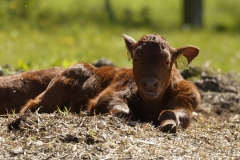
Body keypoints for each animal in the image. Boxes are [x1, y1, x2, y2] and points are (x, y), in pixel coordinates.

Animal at [18, 33, 200, 132]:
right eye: (136, 58)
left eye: (167, 61)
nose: (149, 83)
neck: (150, 106)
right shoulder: (109, 94)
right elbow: (124, 111)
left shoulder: (186, 101)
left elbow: (178, 115)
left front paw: (168, 124)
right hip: (48, 98)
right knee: (30, 106)